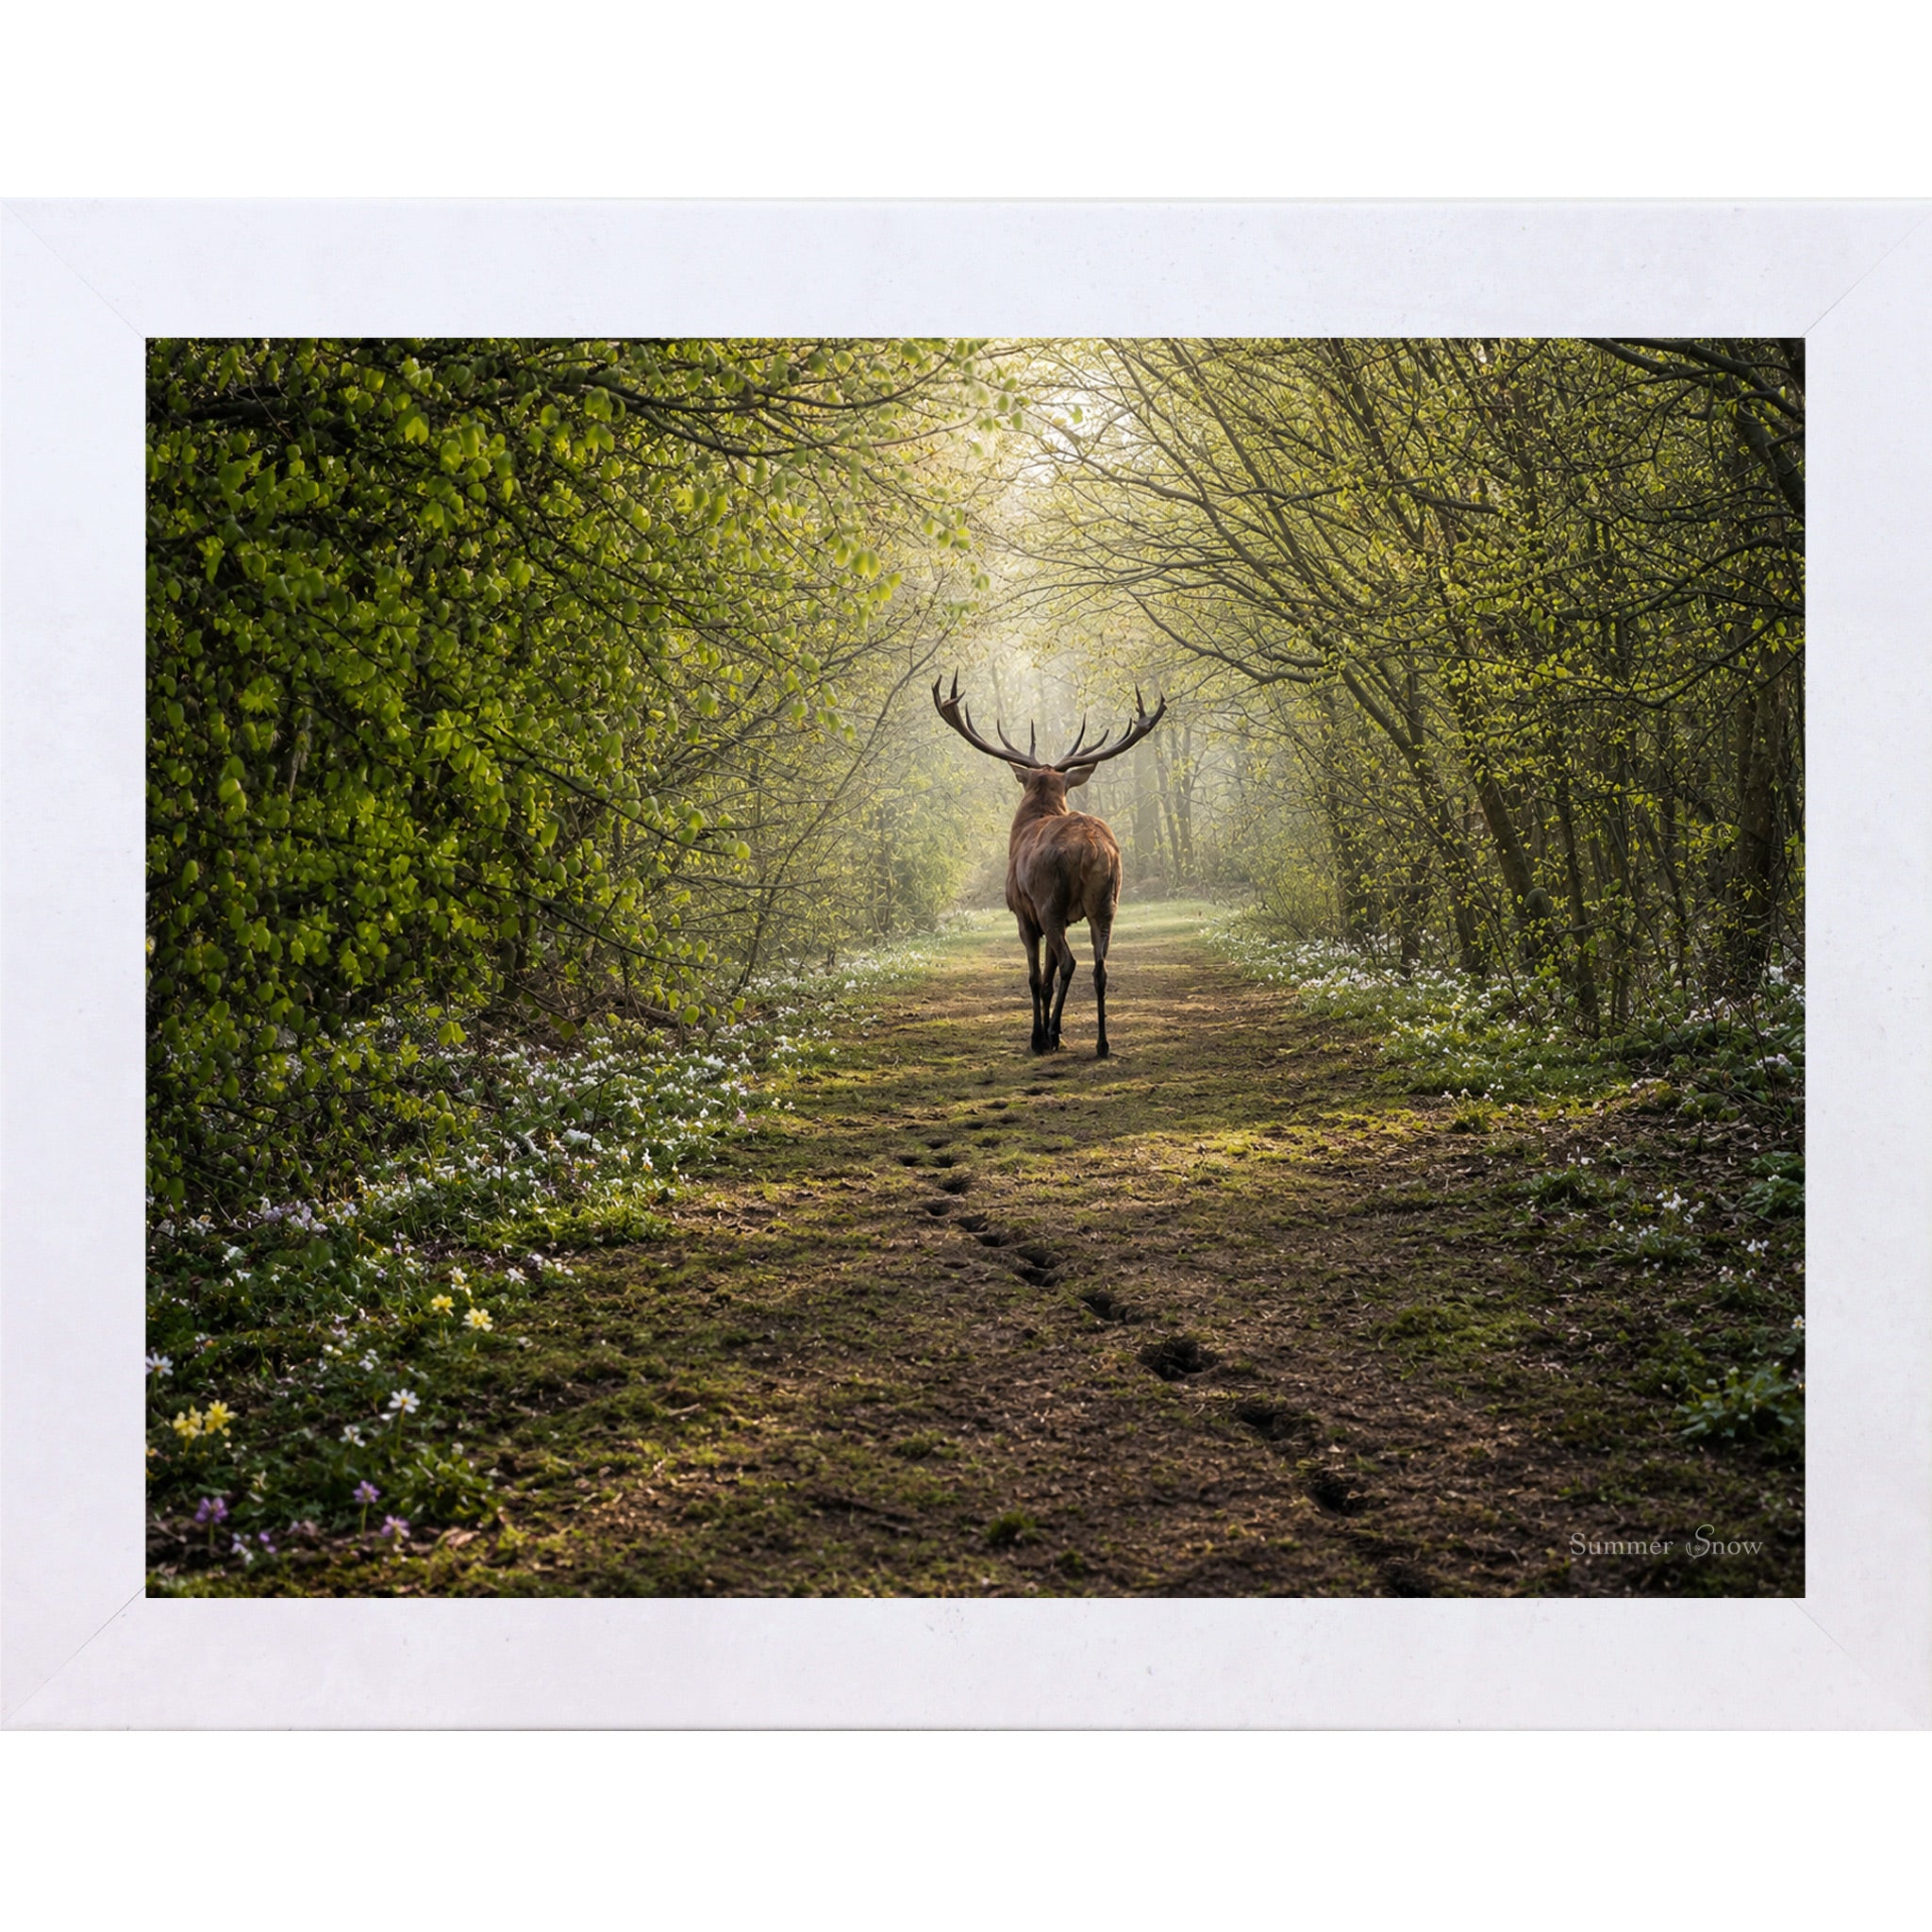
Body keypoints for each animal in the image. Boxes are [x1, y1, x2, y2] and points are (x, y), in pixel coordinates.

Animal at [933, 672, 1167, 1059]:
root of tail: (1093, 848)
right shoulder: (1065, 917)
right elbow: (1047, 977)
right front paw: (1051, 1034)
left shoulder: (1024, 914)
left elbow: (1035, 977)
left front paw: (1039, 1037)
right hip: (1106, 902)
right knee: (1100, 968)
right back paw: (1101, 1043)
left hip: (1049, 902)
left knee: (1071, 962)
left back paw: (1054, 1035)